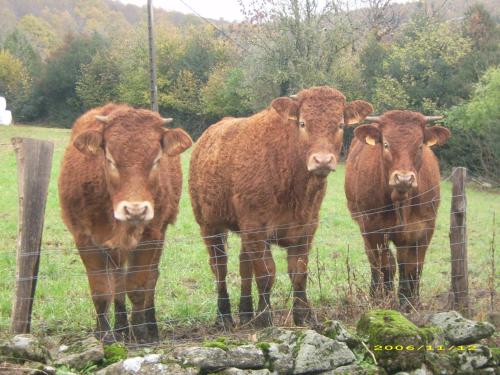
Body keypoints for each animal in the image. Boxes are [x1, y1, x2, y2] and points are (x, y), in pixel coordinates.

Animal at [58, 103, 191, 344]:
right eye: (110, 159)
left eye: (157, 160)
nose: (135, 209)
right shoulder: (84, 239)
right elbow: (101, 292)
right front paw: (104, 335)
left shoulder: (150, 237)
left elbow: (138, 287)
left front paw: (140, 332)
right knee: (117, 283)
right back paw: (118, 328)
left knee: (149, 279)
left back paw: (148, 327)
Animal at [189, 86, 374, 328]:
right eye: (303, 123)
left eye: (340, 125)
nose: (322, 160)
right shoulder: (257, 228)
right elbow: (267, 273)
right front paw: (264, 316)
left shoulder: (306, 227)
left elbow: (299, 272)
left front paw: (302, 315)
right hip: (209, 224)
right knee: (219, 267)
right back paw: (224, 315)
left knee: (244, 265)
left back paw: (245, 312)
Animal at [346, 110, 452, 310]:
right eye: (386, 144)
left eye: (419, 146)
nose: (404, 179)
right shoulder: (374, 229)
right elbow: (386, 265)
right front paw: (384, 300)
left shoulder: (425, 228)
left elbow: (413, 266)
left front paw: (410, 302)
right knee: (375, 262)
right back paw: (375, 293)